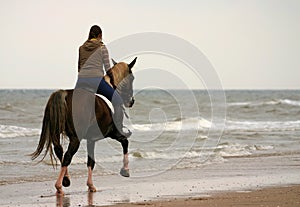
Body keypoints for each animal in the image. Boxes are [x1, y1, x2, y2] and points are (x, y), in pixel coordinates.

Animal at [30, 57, 137, 195]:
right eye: (132, 78)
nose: (131, 101)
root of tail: (65, 94)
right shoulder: (112, 132)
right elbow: (125, 142)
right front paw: (125, 170)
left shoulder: (91, 139)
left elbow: (91, 161)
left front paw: (90, 185)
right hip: (76, 138)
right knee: (67, 156)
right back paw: (59, 186)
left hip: (56, 133)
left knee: (59, 151)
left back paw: (66, 180)